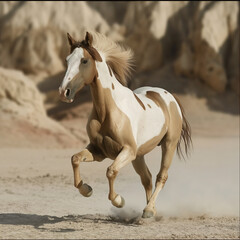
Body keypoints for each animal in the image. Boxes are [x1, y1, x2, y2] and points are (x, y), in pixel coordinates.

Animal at [59, 31, 192, 218]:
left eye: (84, 60)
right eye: (67, 59)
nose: (64, 92)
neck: (108, 111)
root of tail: (170, 97)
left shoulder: (127, 151)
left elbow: (111, 171)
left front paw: (119, 200)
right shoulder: (99, 151)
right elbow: (75, 159)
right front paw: (87, 189)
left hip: (168, 145)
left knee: (161, 176)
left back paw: (149, 210)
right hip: (139, 155)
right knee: (147, 178)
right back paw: (149, 210)